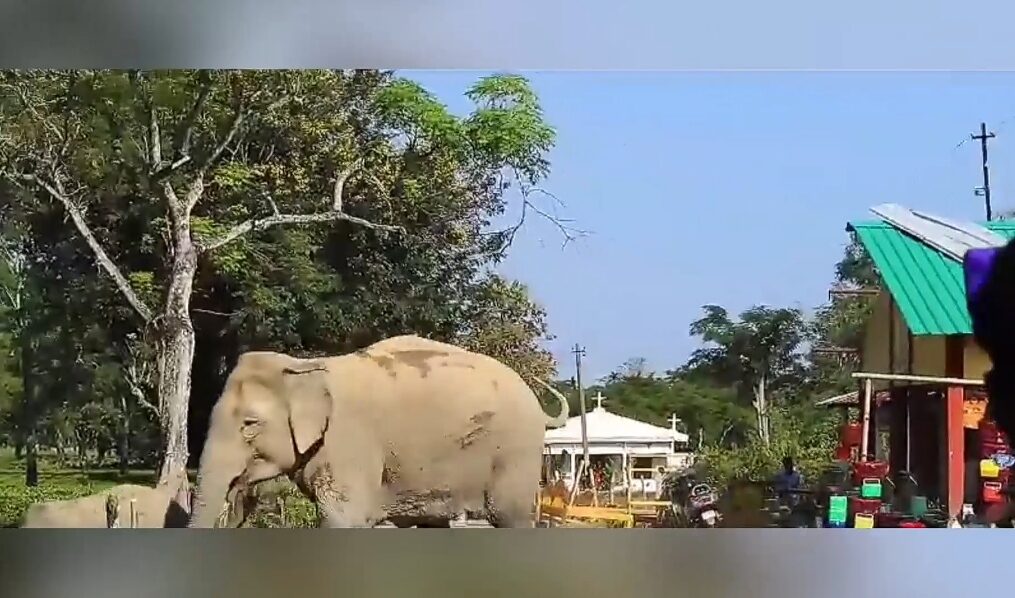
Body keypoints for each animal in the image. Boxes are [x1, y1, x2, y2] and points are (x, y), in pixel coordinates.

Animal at [189, 335, 572, 527]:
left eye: (249, 424)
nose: (237, 493)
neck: (304, 367)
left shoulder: (350, 442)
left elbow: (344, 519)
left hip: (515, 452)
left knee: (509, 517)